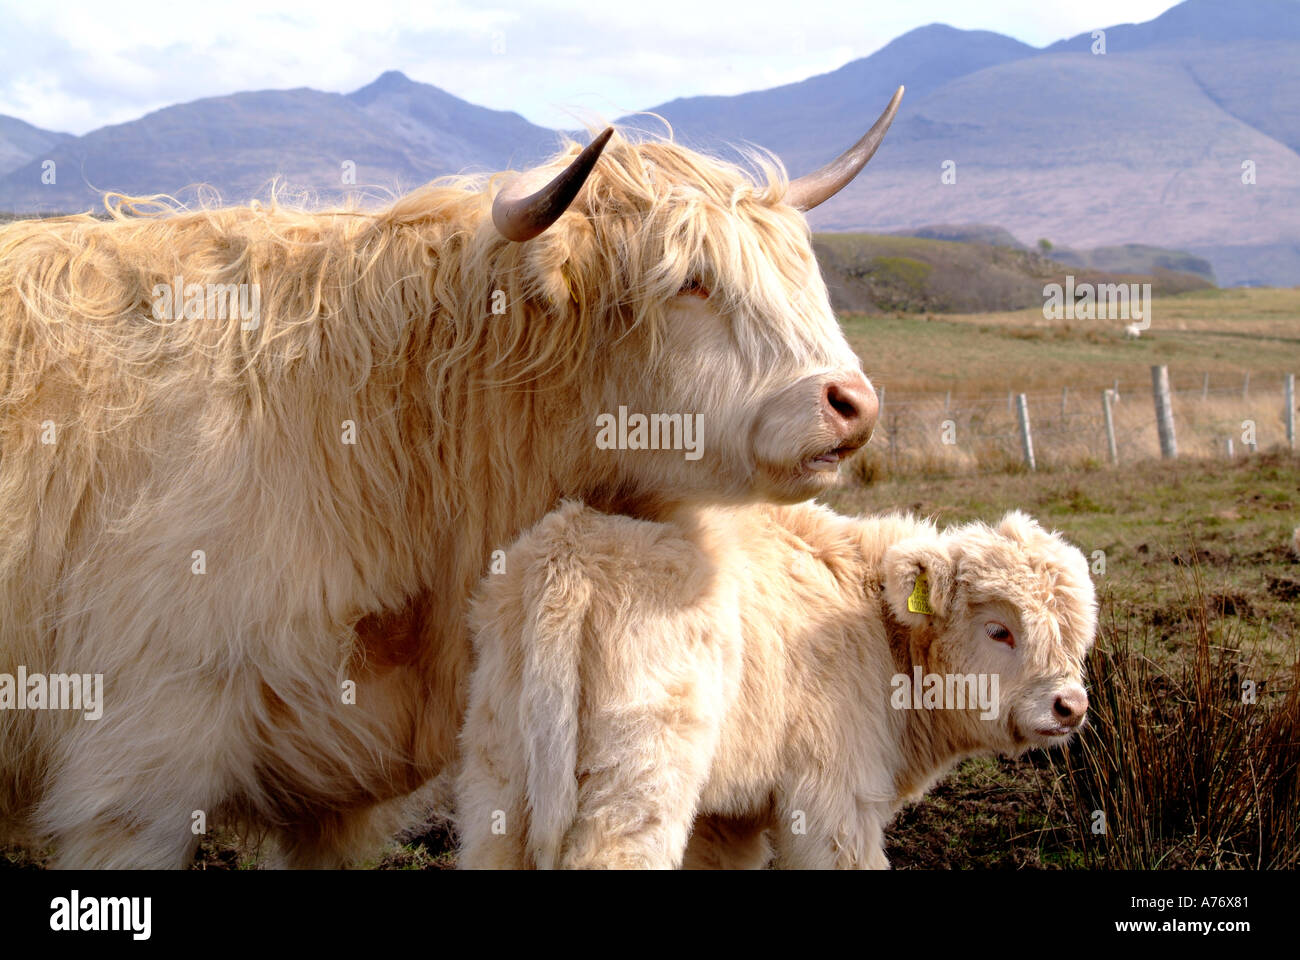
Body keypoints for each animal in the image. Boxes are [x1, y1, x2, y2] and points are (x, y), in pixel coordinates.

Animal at [457, 502, 1097, 868]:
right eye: (999, 630)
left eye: (1073, 634)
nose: (1070, 705)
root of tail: (571, 552)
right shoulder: (834, 794)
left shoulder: (727, 815)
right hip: (641, 774)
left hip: (501, 771)